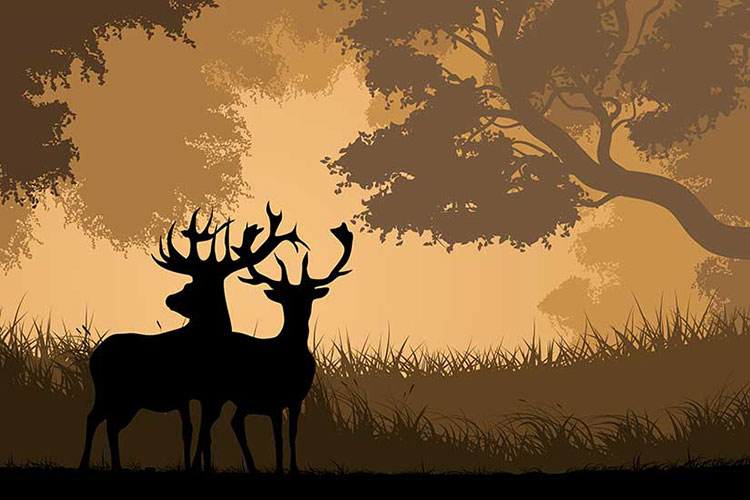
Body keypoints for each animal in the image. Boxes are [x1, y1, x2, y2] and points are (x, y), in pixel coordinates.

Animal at [78, 204, 304, 471]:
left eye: (192, 285)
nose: (170, 299)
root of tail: (94, 357)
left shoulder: (208, 393)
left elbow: (202, 432)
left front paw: (202, 466)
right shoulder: (191, 392)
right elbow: (193, 430)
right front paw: (194, 466)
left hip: (125, 399)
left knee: (110, 424)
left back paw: (115, 466)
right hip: (112, 392)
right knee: (95, 418)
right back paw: (86, 464)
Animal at [190, 222, 353, 474]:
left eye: (308, 296)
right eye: (285, 297)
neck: (290, 353)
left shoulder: (297, 398)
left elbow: (292, 433)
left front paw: (293, 468)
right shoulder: (274, 398)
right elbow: (278, 435)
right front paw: (278, 468)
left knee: (229, 422)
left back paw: (247, 466)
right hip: (218, 392)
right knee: (211, 423)